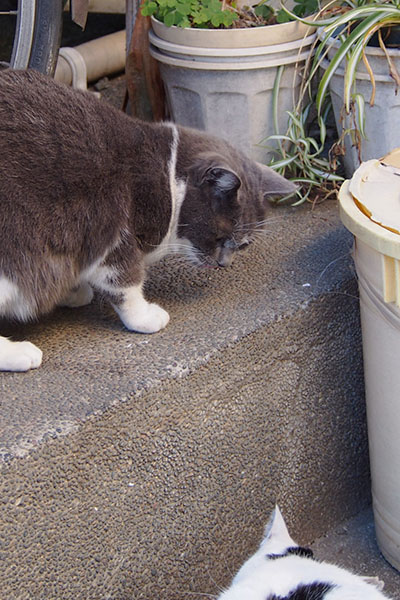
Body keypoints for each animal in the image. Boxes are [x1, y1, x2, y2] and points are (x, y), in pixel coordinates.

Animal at [0, 69, 296, 370]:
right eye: (220, 236)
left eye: (244, 245)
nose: (224, 264)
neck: (168, 176)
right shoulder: (113, 233)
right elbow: (126, 283)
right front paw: (144, 317)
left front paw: (73, 291)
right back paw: (18, 353)